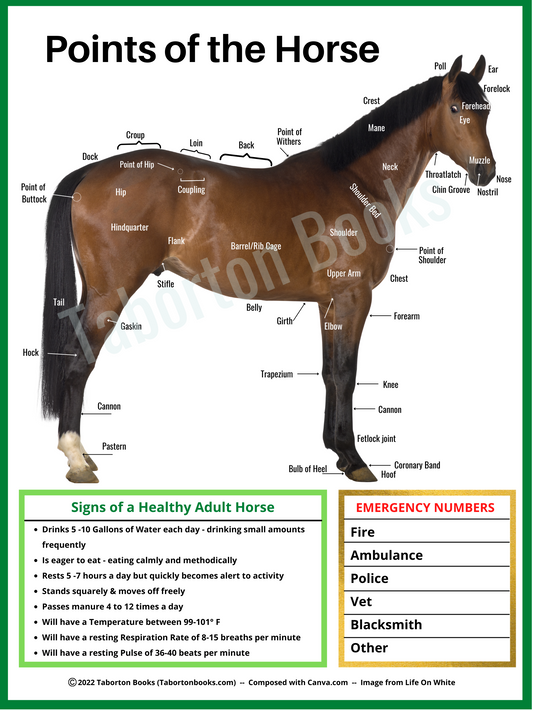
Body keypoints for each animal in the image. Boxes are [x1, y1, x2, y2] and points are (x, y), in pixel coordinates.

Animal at [41, 55, 495, 484]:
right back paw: (77, 460)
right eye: (455, 108)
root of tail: (91, 171)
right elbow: (347, 373)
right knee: (79, 362)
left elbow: (329, 373)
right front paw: (355, 459)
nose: (486, 171)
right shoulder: (354, 296)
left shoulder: (328, 303)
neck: (356, 181)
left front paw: (336, 451)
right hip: (110, 293)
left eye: (486, 108)